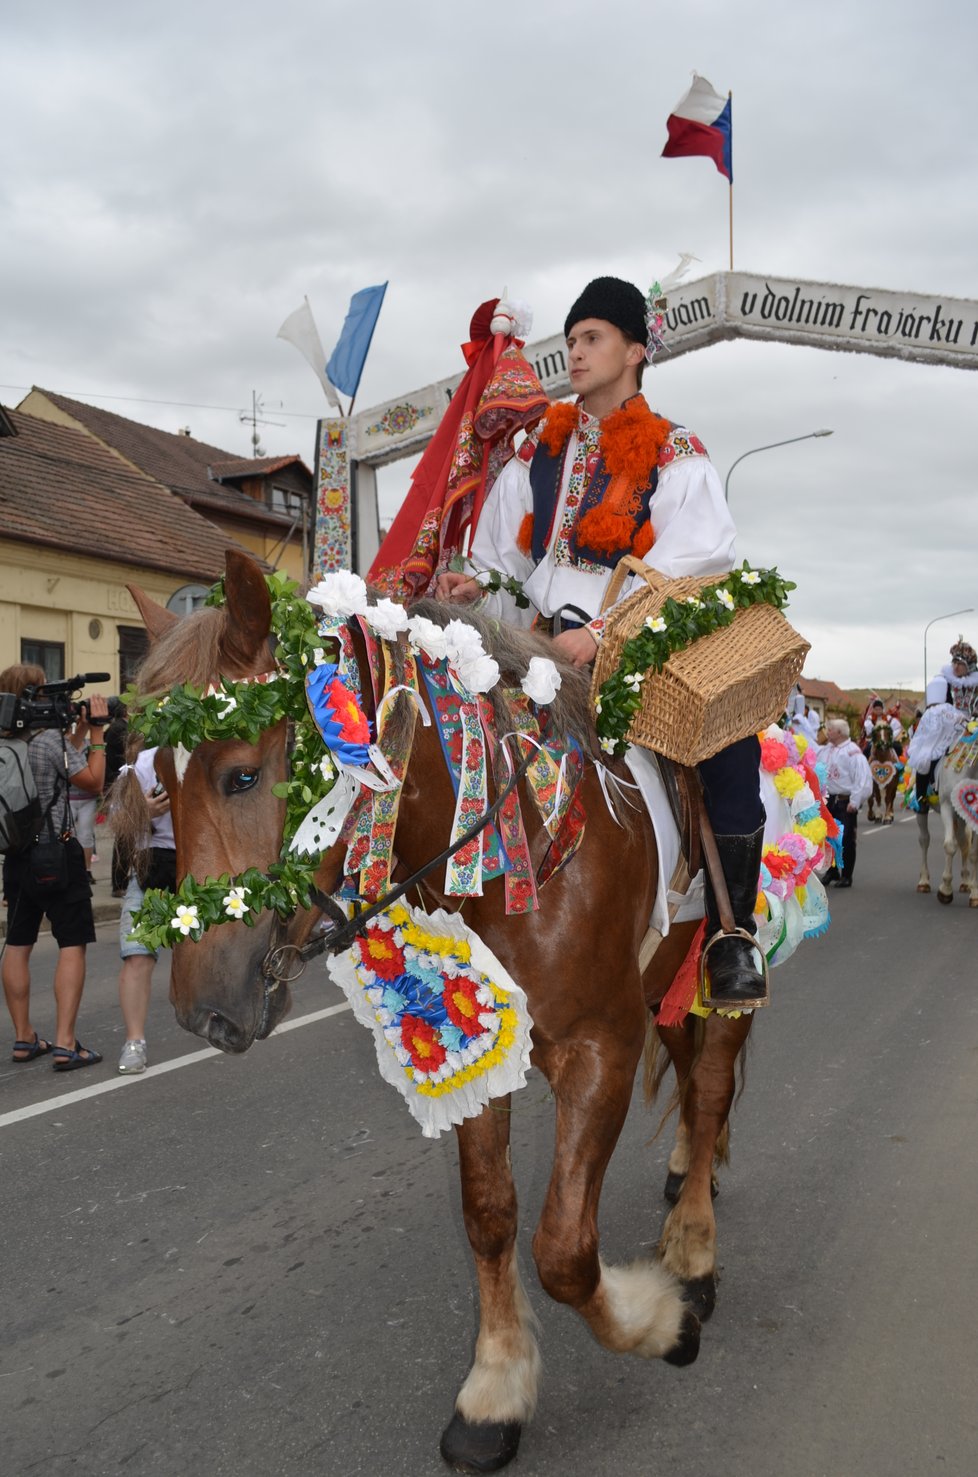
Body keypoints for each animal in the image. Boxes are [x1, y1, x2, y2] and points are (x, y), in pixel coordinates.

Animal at [130, 555, 753, 1477]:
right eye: (159, 783)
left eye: (241, 772)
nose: (202, 1011)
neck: (528, 848)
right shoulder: (485, 1045)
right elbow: (490, 1216)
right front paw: (495, 1391)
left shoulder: (600, 1046)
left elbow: (565, 1251)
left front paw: (662, 1324)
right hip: (667, 981)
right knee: (691, 1075)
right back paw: (686, 1181)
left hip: (725, 968)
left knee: (710, 1090)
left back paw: (695, 1253)